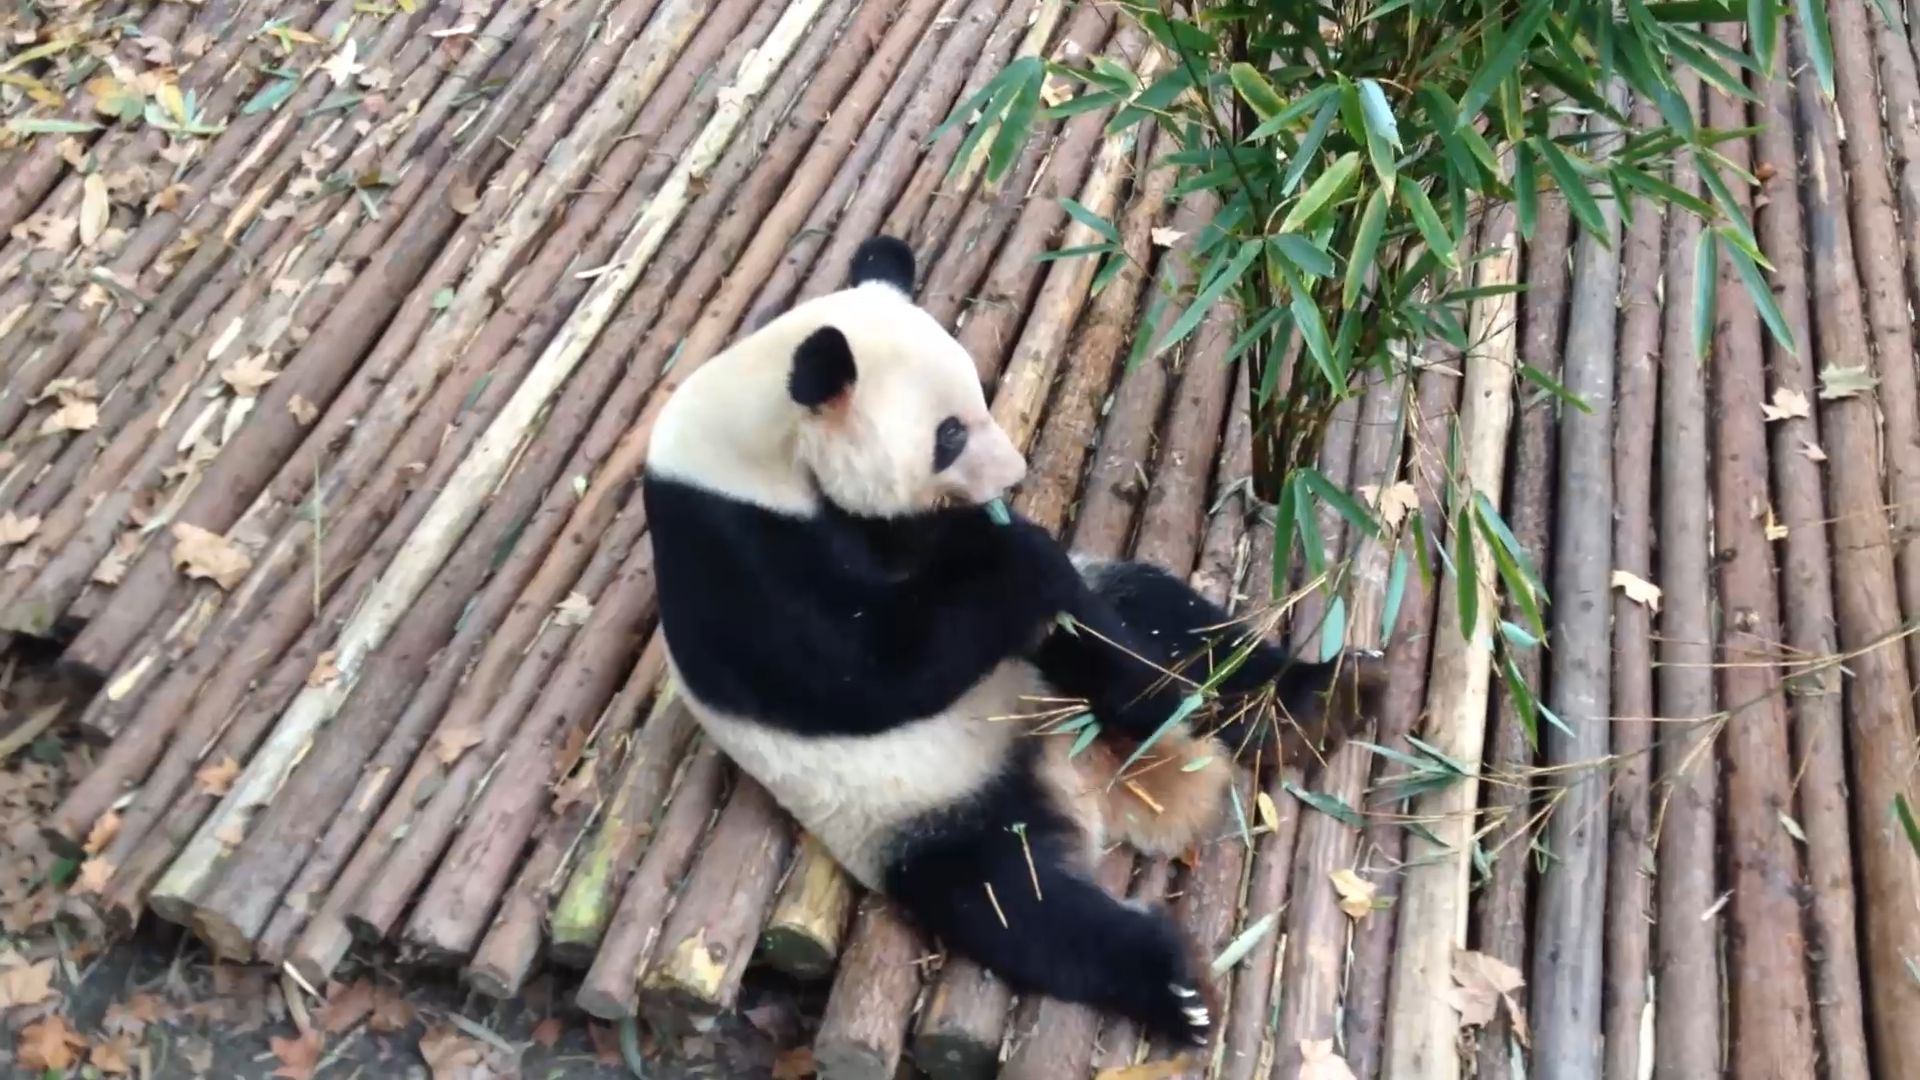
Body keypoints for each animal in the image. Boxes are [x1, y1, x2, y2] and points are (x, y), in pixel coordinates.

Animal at [642, 234, 1383, 1047]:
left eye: (979, 397)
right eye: (948, 434)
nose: (1016, 476)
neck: (756, 441)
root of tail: (1079, 777)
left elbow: (1087, 633)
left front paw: (1116, 660)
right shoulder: (728, 552)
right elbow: (860, 671)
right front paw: (1024, 565)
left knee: (1178, 624)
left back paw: (1316, 699)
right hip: (925, 818)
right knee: (1021, 906)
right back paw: (1175, 987)